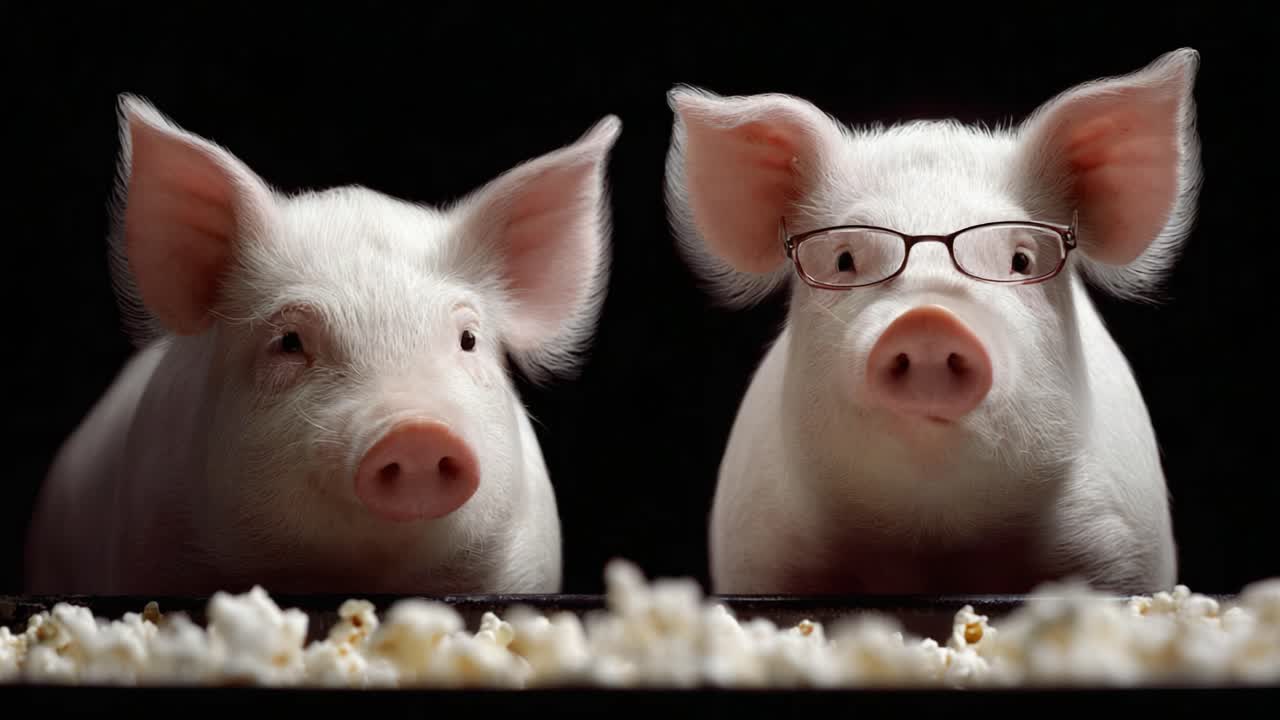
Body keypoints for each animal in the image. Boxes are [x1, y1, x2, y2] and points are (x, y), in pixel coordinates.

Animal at [665, 49, 1200, 596]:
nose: (928, 318)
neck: (931, 539)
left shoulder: (1121, 545)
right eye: (843, 260)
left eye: (1021, 260)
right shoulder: (758, 548)